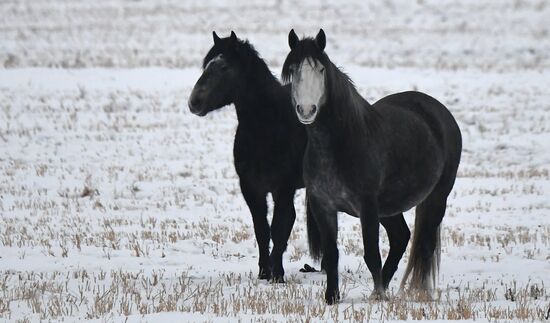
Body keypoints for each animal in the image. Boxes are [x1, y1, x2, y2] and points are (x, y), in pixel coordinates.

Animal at [189, 31, 310, 284]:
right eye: (206, 65)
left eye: (224, 67)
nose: (194, 102)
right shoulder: (251, 187)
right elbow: (262, 230)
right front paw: (264, 272)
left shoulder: (283, 187)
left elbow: (277, 227)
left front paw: (277, 274)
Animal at [282, 29, 464, 306]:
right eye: (293, 70)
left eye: (321, 69)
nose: (306, 110)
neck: (338, 145)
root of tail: (439, 112)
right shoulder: (323, 206)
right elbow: (332, 254)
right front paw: (332, 297)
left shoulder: (367, 207)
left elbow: (371, 254)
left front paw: (379, 297)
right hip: (389, 208)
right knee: (401, 237)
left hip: (436, 197)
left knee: (424, 244)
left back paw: (417, 293)